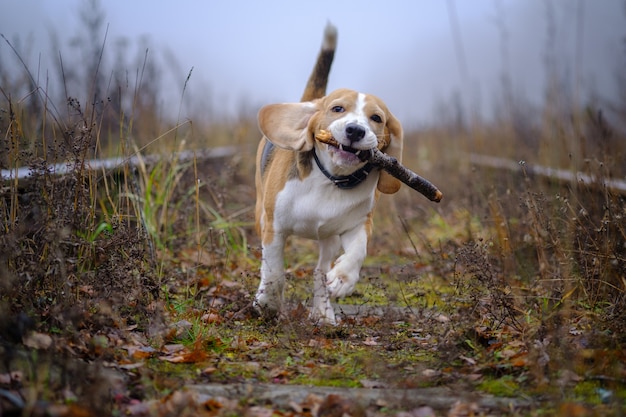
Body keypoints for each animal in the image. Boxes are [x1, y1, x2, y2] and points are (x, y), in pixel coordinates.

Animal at [255, 23, 404, 324]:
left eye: (377, 118)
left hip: (330, 239)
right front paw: (269, 303)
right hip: (260, 211)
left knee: (319, 271)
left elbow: (358, 251)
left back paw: (324, 313)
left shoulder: (359, 224)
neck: (329, 179)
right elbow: (274, 270)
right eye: (337, 109)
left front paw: (343, 279)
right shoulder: (274, 227)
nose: (355, 131)